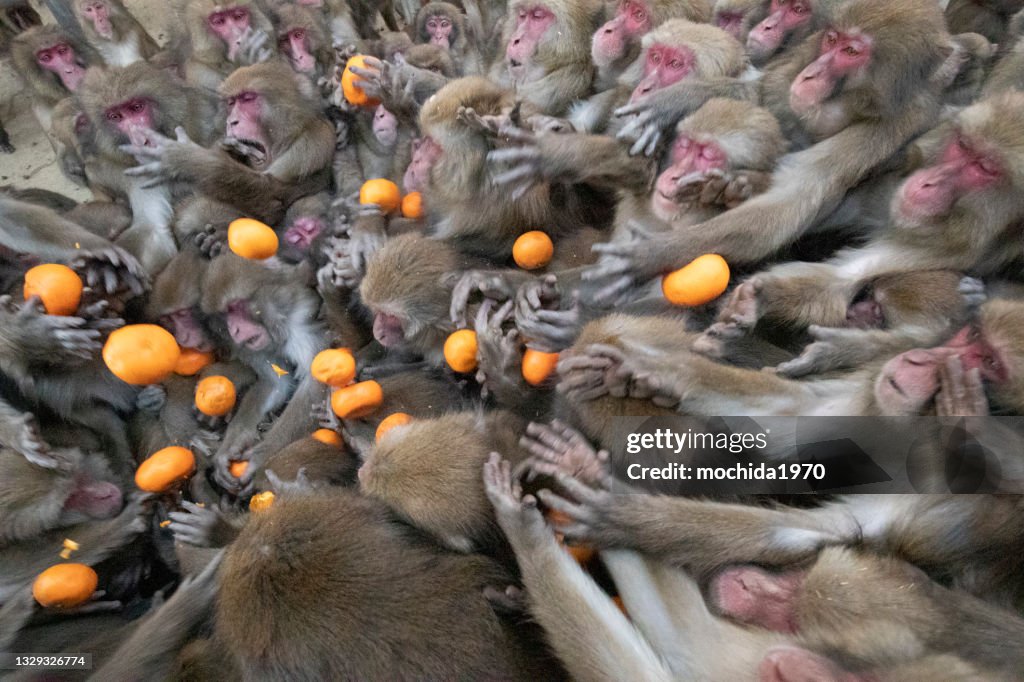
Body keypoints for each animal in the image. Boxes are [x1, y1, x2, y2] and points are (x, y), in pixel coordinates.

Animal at [123, 61, 335, 228]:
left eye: (248, 98)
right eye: (232, 103)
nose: (231, 121)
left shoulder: (309, 151)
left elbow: (274, 202)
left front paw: (186, 161)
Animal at [581, 0, 957, 307]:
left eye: (852, 51)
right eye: (832, 40)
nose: (813, 74)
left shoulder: (903, 120)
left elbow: (792, 200)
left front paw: (654, 253)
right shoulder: (802, 56)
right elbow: (761, 94)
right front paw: (679, 101)